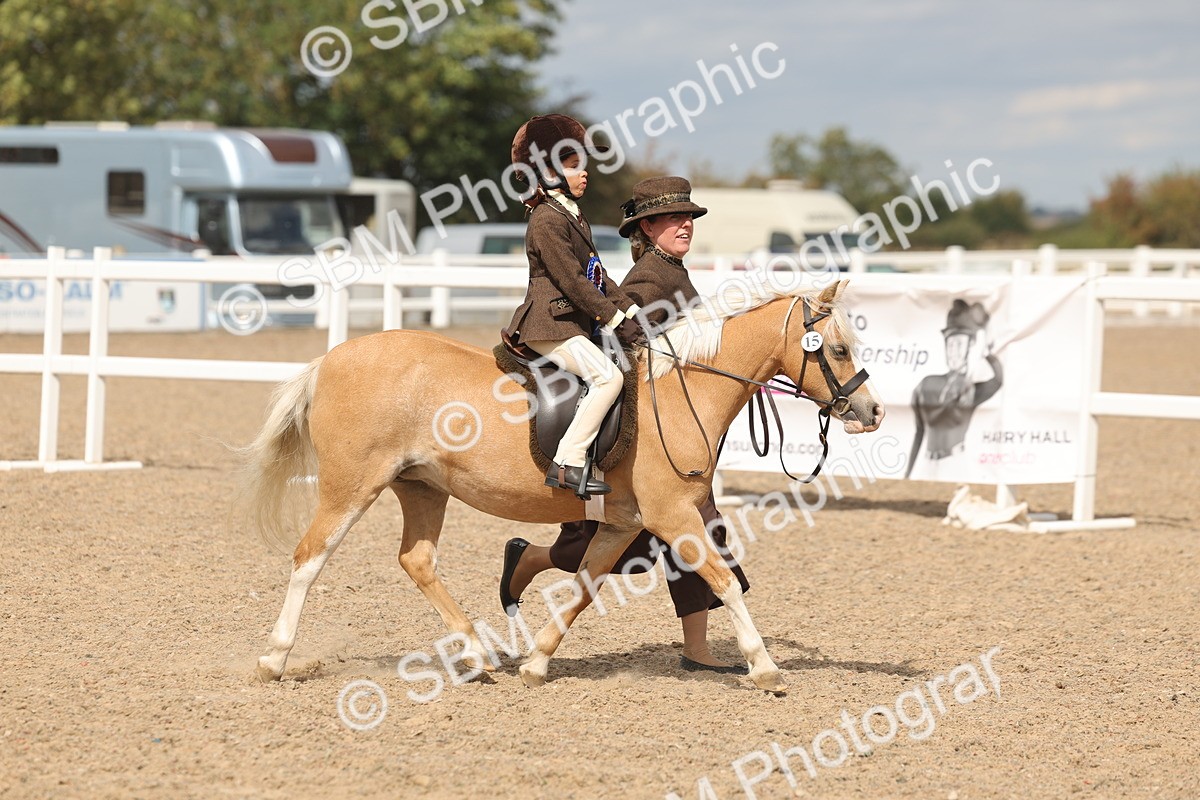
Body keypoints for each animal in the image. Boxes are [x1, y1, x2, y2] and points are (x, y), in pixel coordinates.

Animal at [242, 278, 884, 692]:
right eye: (837, 348)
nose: (872, 411)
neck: (681, 390)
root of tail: (328, 361)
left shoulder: (623, 524)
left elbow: (582, 587)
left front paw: (536, 664)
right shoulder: (674, 517)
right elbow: (724, 582)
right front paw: (765, 667)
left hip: (422, 488)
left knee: (418, 560)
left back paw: (480, 655)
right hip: (351, 486)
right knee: (310, 557)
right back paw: (274, 659)